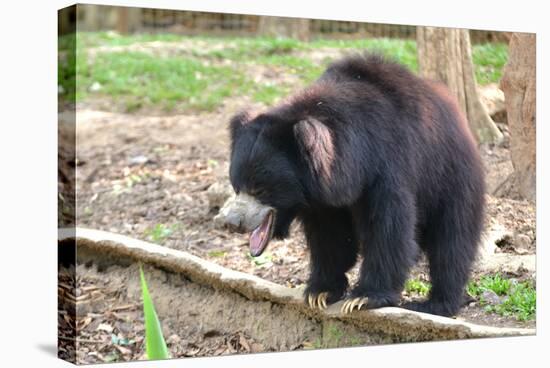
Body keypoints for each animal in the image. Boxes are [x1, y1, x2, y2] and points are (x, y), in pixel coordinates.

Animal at [229, 52, 488, 316]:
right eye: (236, 185)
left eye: (260, 189)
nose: (233, 222)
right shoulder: (323, 198)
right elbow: (329, 236)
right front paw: (320, 292)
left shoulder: (388, 166)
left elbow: (387, 227)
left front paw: (363, 298)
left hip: (450, 178)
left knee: (451, 240)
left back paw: (436, 304)